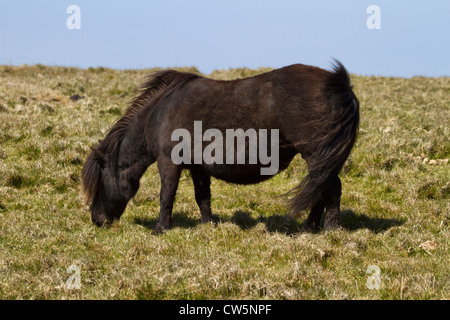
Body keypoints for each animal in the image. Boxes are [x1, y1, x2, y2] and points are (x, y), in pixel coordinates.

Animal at [82, 60, 360, 235]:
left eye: (101, 181)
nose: (96, 220)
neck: (158, 113)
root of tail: (339, 84)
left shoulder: (168, 162)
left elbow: (166, 195)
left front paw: (160, 229)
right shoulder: (197, 167)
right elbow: (202, 197)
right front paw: (208, 225)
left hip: (316, 155)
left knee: (330, 188)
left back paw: (331, 230)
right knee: (321, 189)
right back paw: (309, 228)